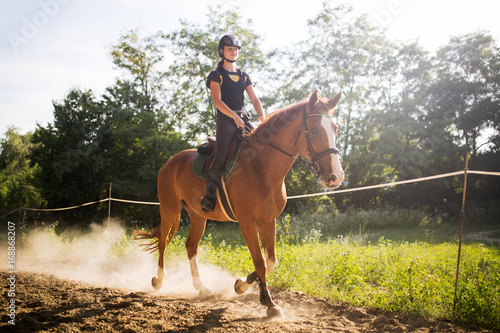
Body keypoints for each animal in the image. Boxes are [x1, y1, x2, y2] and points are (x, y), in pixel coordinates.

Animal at [137, 90, 344, 316]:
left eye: (335, 129)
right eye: (314, 130)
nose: (335, 176)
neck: (261, 167)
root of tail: (171, 162)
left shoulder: (268, 221)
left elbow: (270, 261)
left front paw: (242, 285)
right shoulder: (247, 222)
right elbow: (260, 261)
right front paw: (269, 304)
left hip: (198, 216)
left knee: (191, 245)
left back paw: (201, 287)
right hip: (169, 209)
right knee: (163, 241)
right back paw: (159, 280)